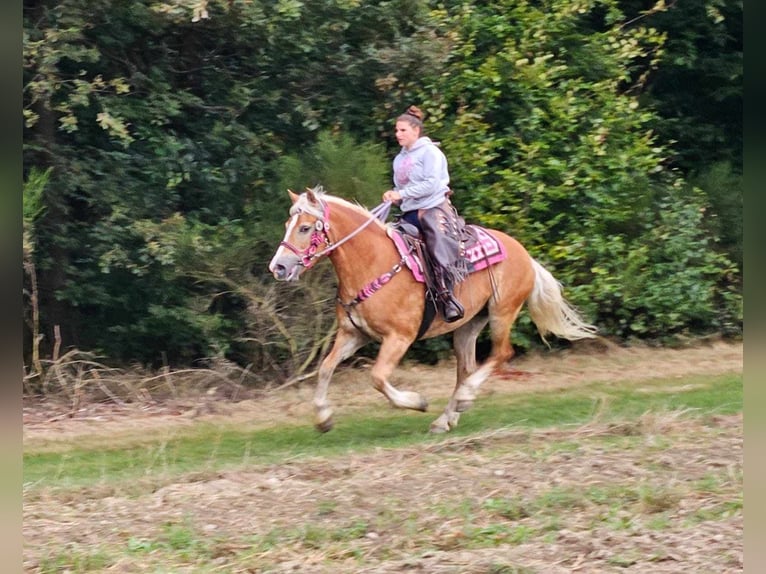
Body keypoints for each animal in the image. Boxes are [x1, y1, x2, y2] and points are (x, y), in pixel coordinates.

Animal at [270, 187, 600, 434]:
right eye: (287, 226)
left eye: (305, 227)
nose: (279, 267)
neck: (372, 263)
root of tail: (524, 254)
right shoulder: (354, 334)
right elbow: (326, 368)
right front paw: (323, 418)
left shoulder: (399, 338)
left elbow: (377, 377)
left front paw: (417, 402)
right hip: (468, 325)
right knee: (466, 368)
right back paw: (447, 418)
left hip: (502, 312)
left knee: (501, 354)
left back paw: (463, 399)